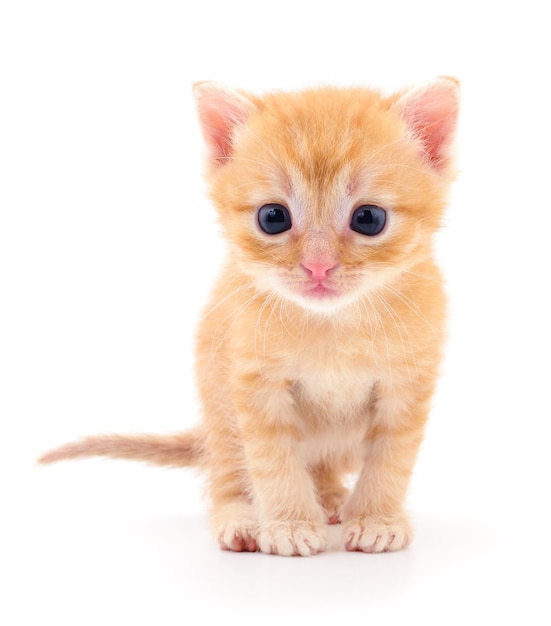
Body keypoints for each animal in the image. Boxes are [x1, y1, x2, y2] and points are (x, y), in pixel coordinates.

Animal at [40, 79, 462, 556]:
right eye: (272, 217)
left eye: (369, 218)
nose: (318, 267)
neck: (331, 324)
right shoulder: (253, 384)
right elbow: (273, 461)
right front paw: (291, 524)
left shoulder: (407, 385)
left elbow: (391, 458)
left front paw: (376, 519)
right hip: (220, 410)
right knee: (227, 474)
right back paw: (242, 518)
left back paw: (331, 498)